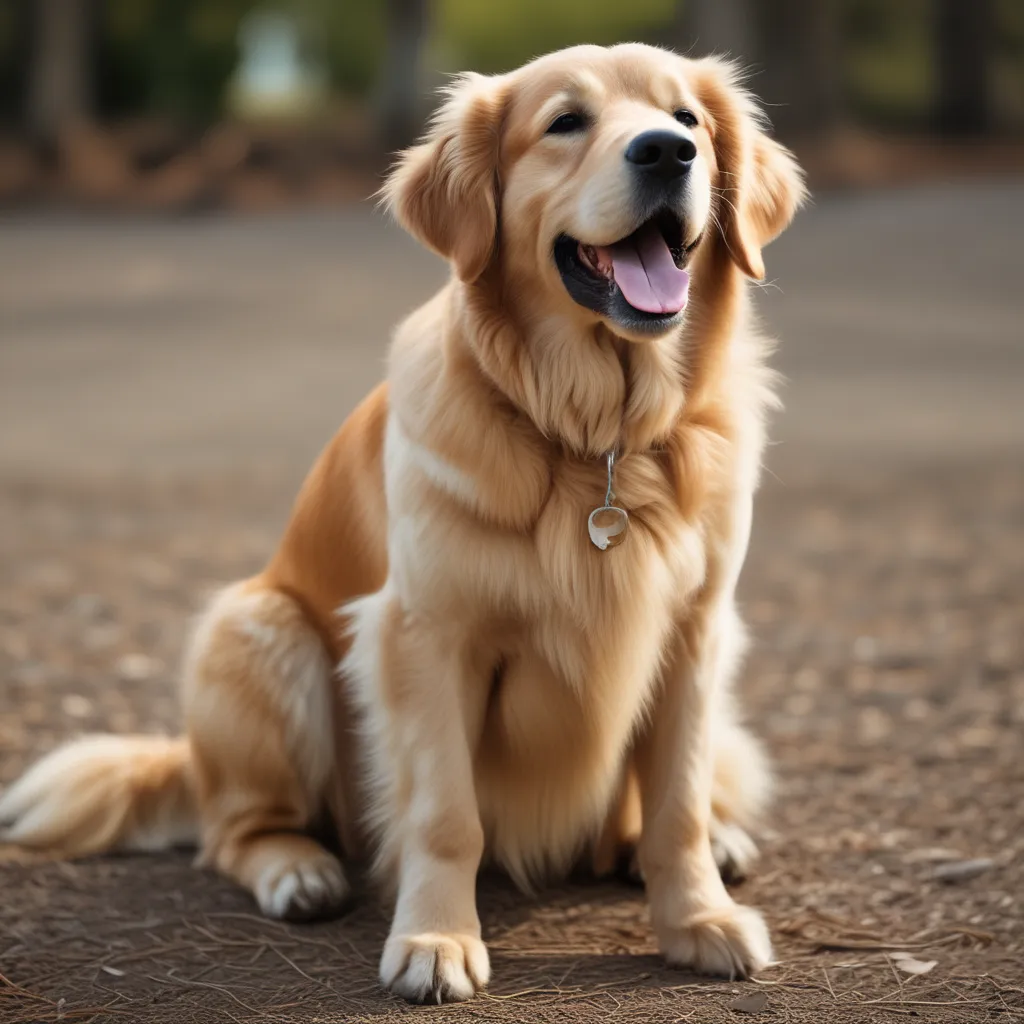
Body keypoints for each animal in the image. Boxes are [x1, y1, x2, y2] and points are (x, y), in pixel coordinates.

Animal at [2, 46, 806, 999]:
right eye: (565, 122)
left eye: (688, 121)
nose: (665, 153)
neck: (597, 442)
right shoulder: (424, 636)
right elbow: (445, 814)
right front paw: (435, 939)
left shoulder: (694, 630)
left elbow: (676, 808)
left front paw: (698, 921)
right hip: (260, 629)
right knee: (236, 829)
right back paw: (297, 869)